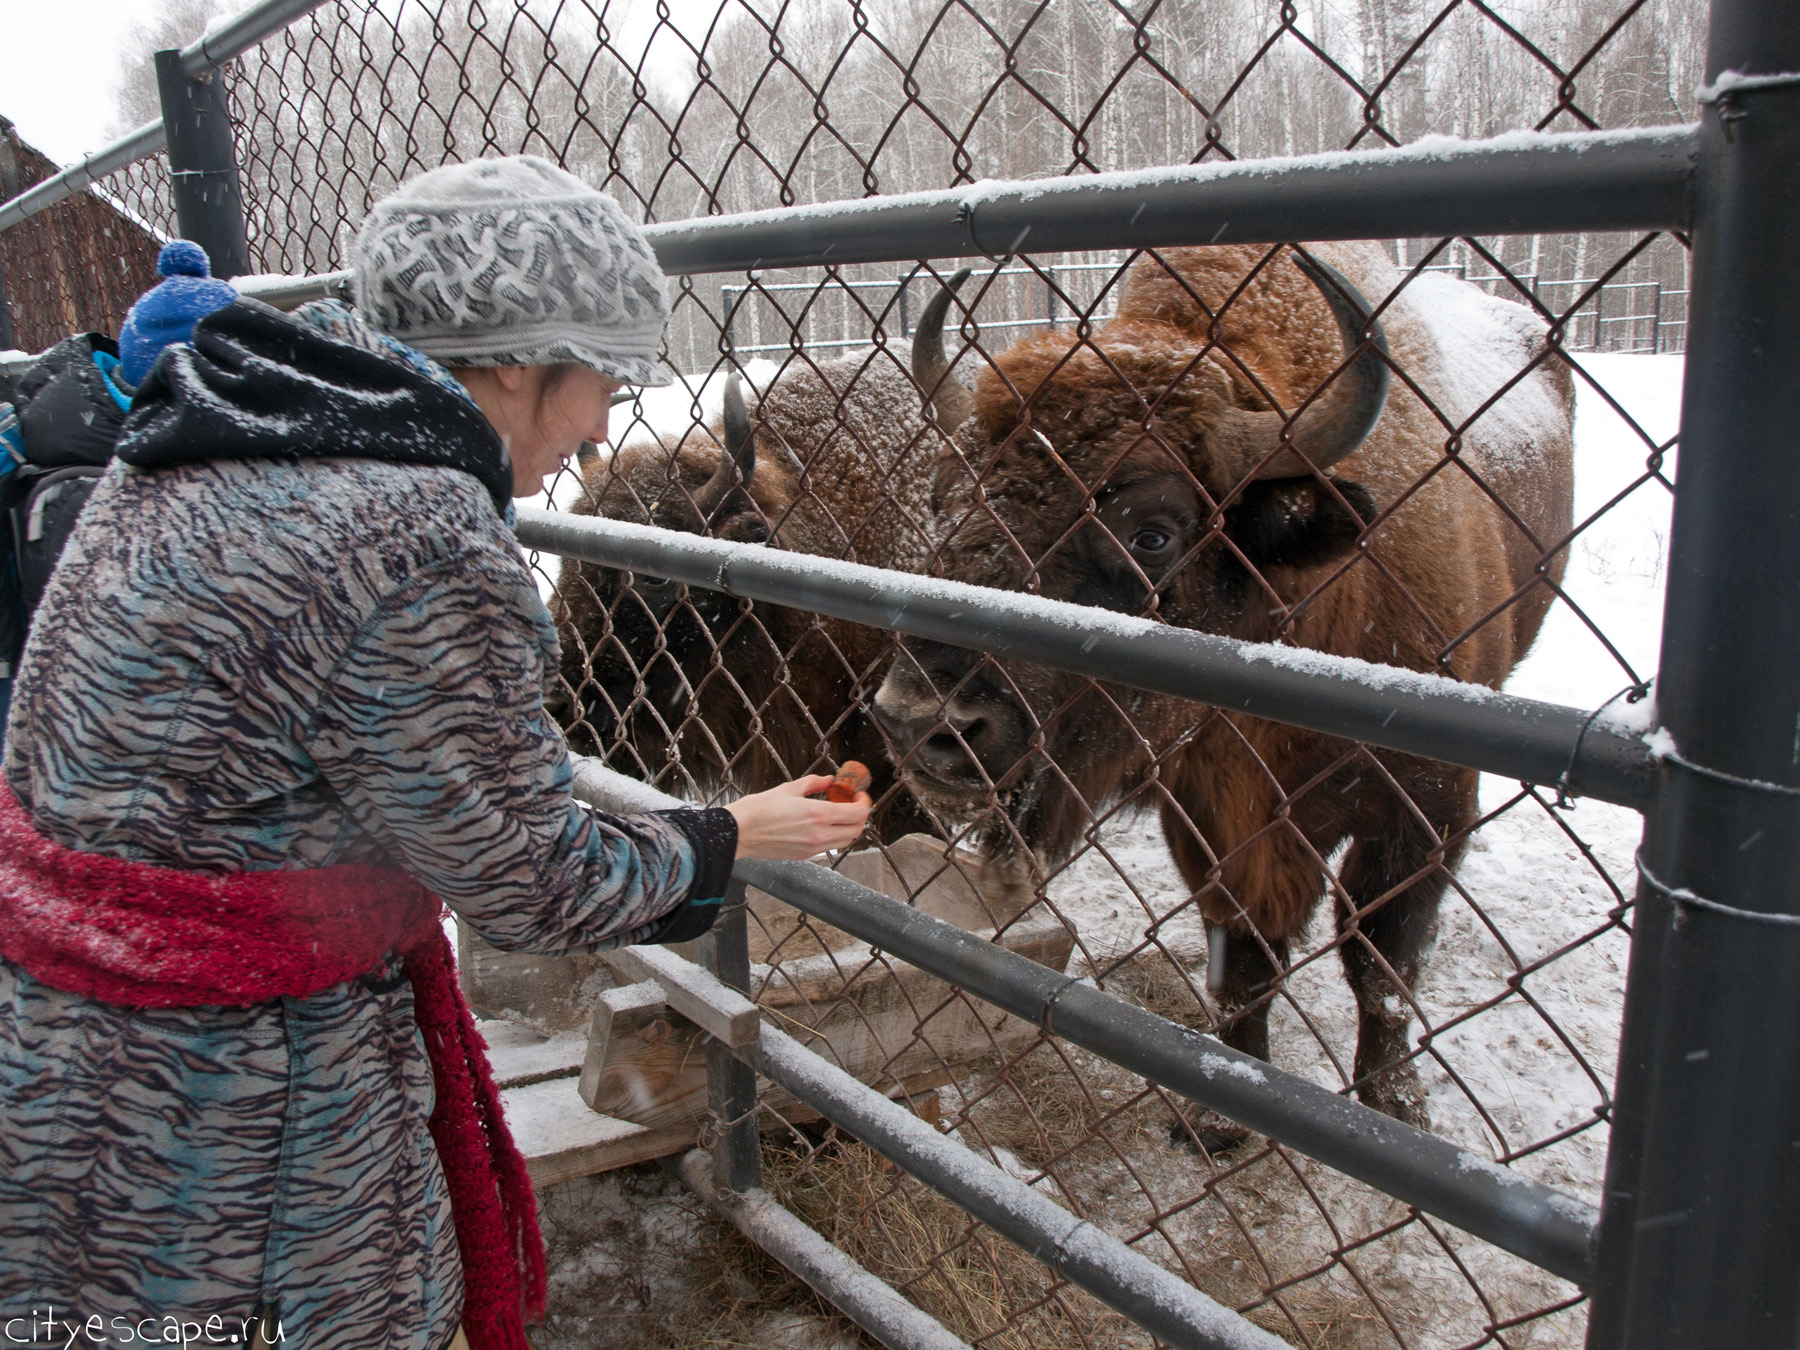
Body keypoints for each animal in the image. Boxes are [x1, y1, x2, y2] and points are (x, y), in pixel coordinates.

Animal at [874, 246, 1576, 1144]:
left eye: (1151, 534)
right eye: (945, 501)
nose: (917, 722)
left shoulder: (1428, 807)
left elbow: (1380, 962)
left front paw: (1396, 1105)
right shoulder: (1209, 814)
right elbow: (1244, 957)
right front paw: (1220, 1117)